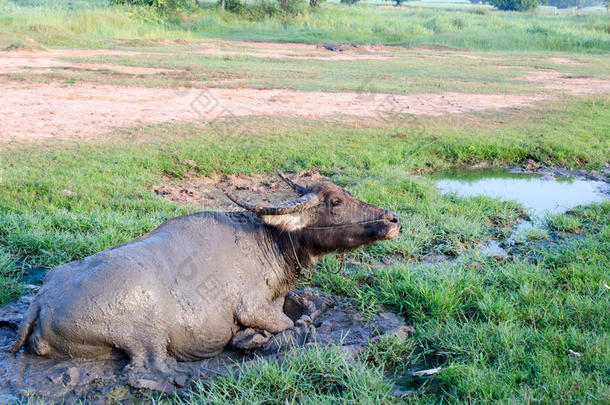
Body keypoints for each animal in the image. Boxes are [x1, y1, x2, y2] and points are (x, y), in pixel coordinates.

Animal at [10, 170, 400, 378]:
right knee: (150, 367)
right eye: (335, 202)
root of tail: (41, 302)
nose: (393, 219)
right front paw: (251, 338)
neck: (269, 241)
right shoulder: (254, 309)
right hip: (147, 335)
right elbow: (295, 325)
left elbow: (311, 305)